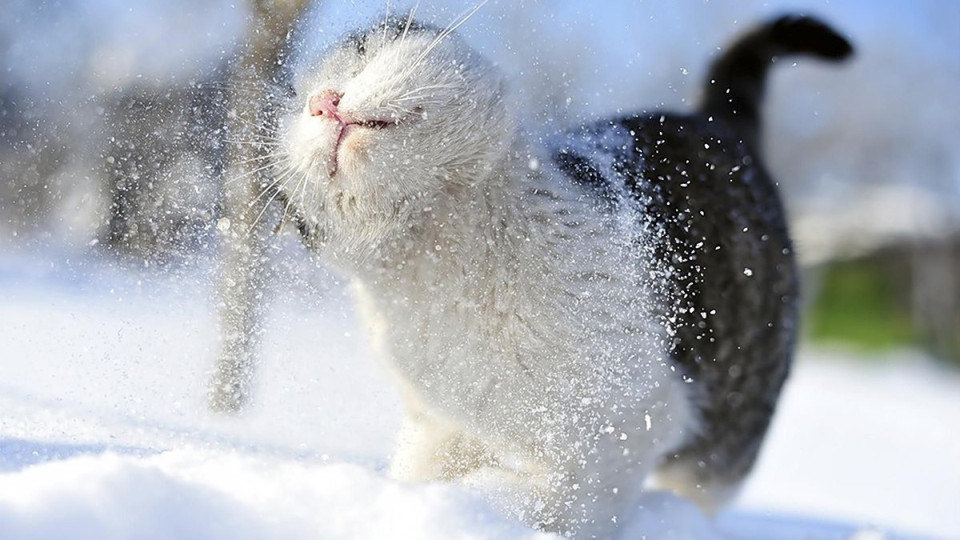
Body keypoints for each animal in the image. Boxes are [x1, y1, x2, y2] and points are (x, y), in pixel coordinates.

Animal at [266, 12, 852, 540]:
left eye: (361, 53)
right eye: (296, 105)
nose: (324, 101)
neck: (452, 261)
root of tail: (715, 121)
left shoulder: (628, 429)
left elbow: (555, 504)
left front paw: (482, 509)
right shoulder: (442, 423)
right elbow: (424, 473)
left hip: (728, 428)